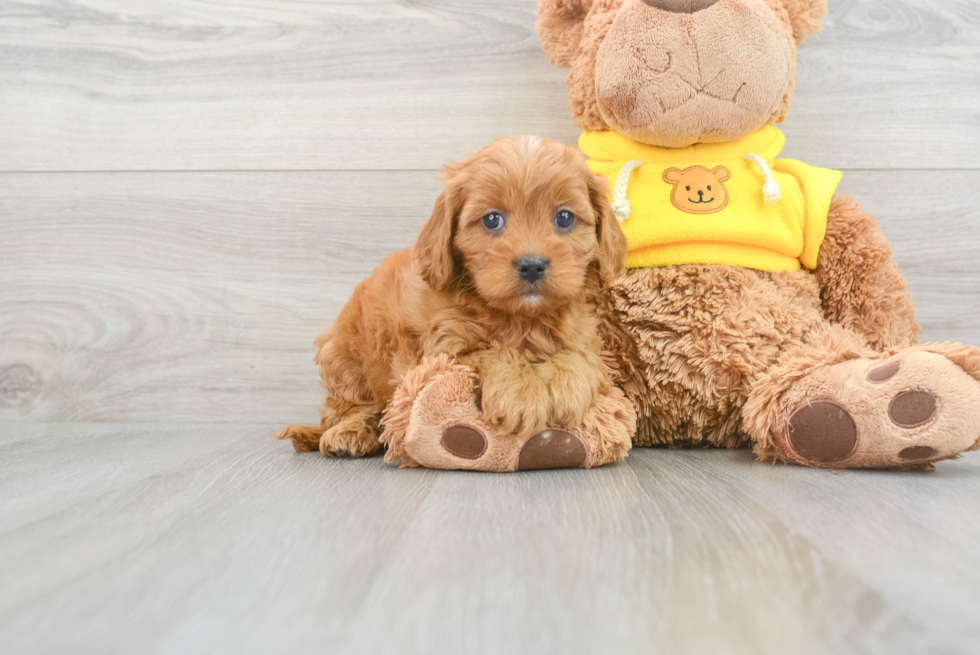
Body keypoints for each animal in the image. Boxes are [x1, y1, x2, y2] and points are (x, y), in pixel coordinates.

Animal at [276, 136, 628, 458]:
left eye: (564, 218)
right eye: (492, 219)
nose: (531, 265)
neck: (520, 318)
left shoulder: (584, 335)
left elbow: (582, 356)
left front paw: (568, 387)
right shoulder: (441, 350)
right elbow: (490, 351)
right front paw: (520, 394)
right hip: (344, 358)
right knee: (347, 408)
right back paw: (350, 432)